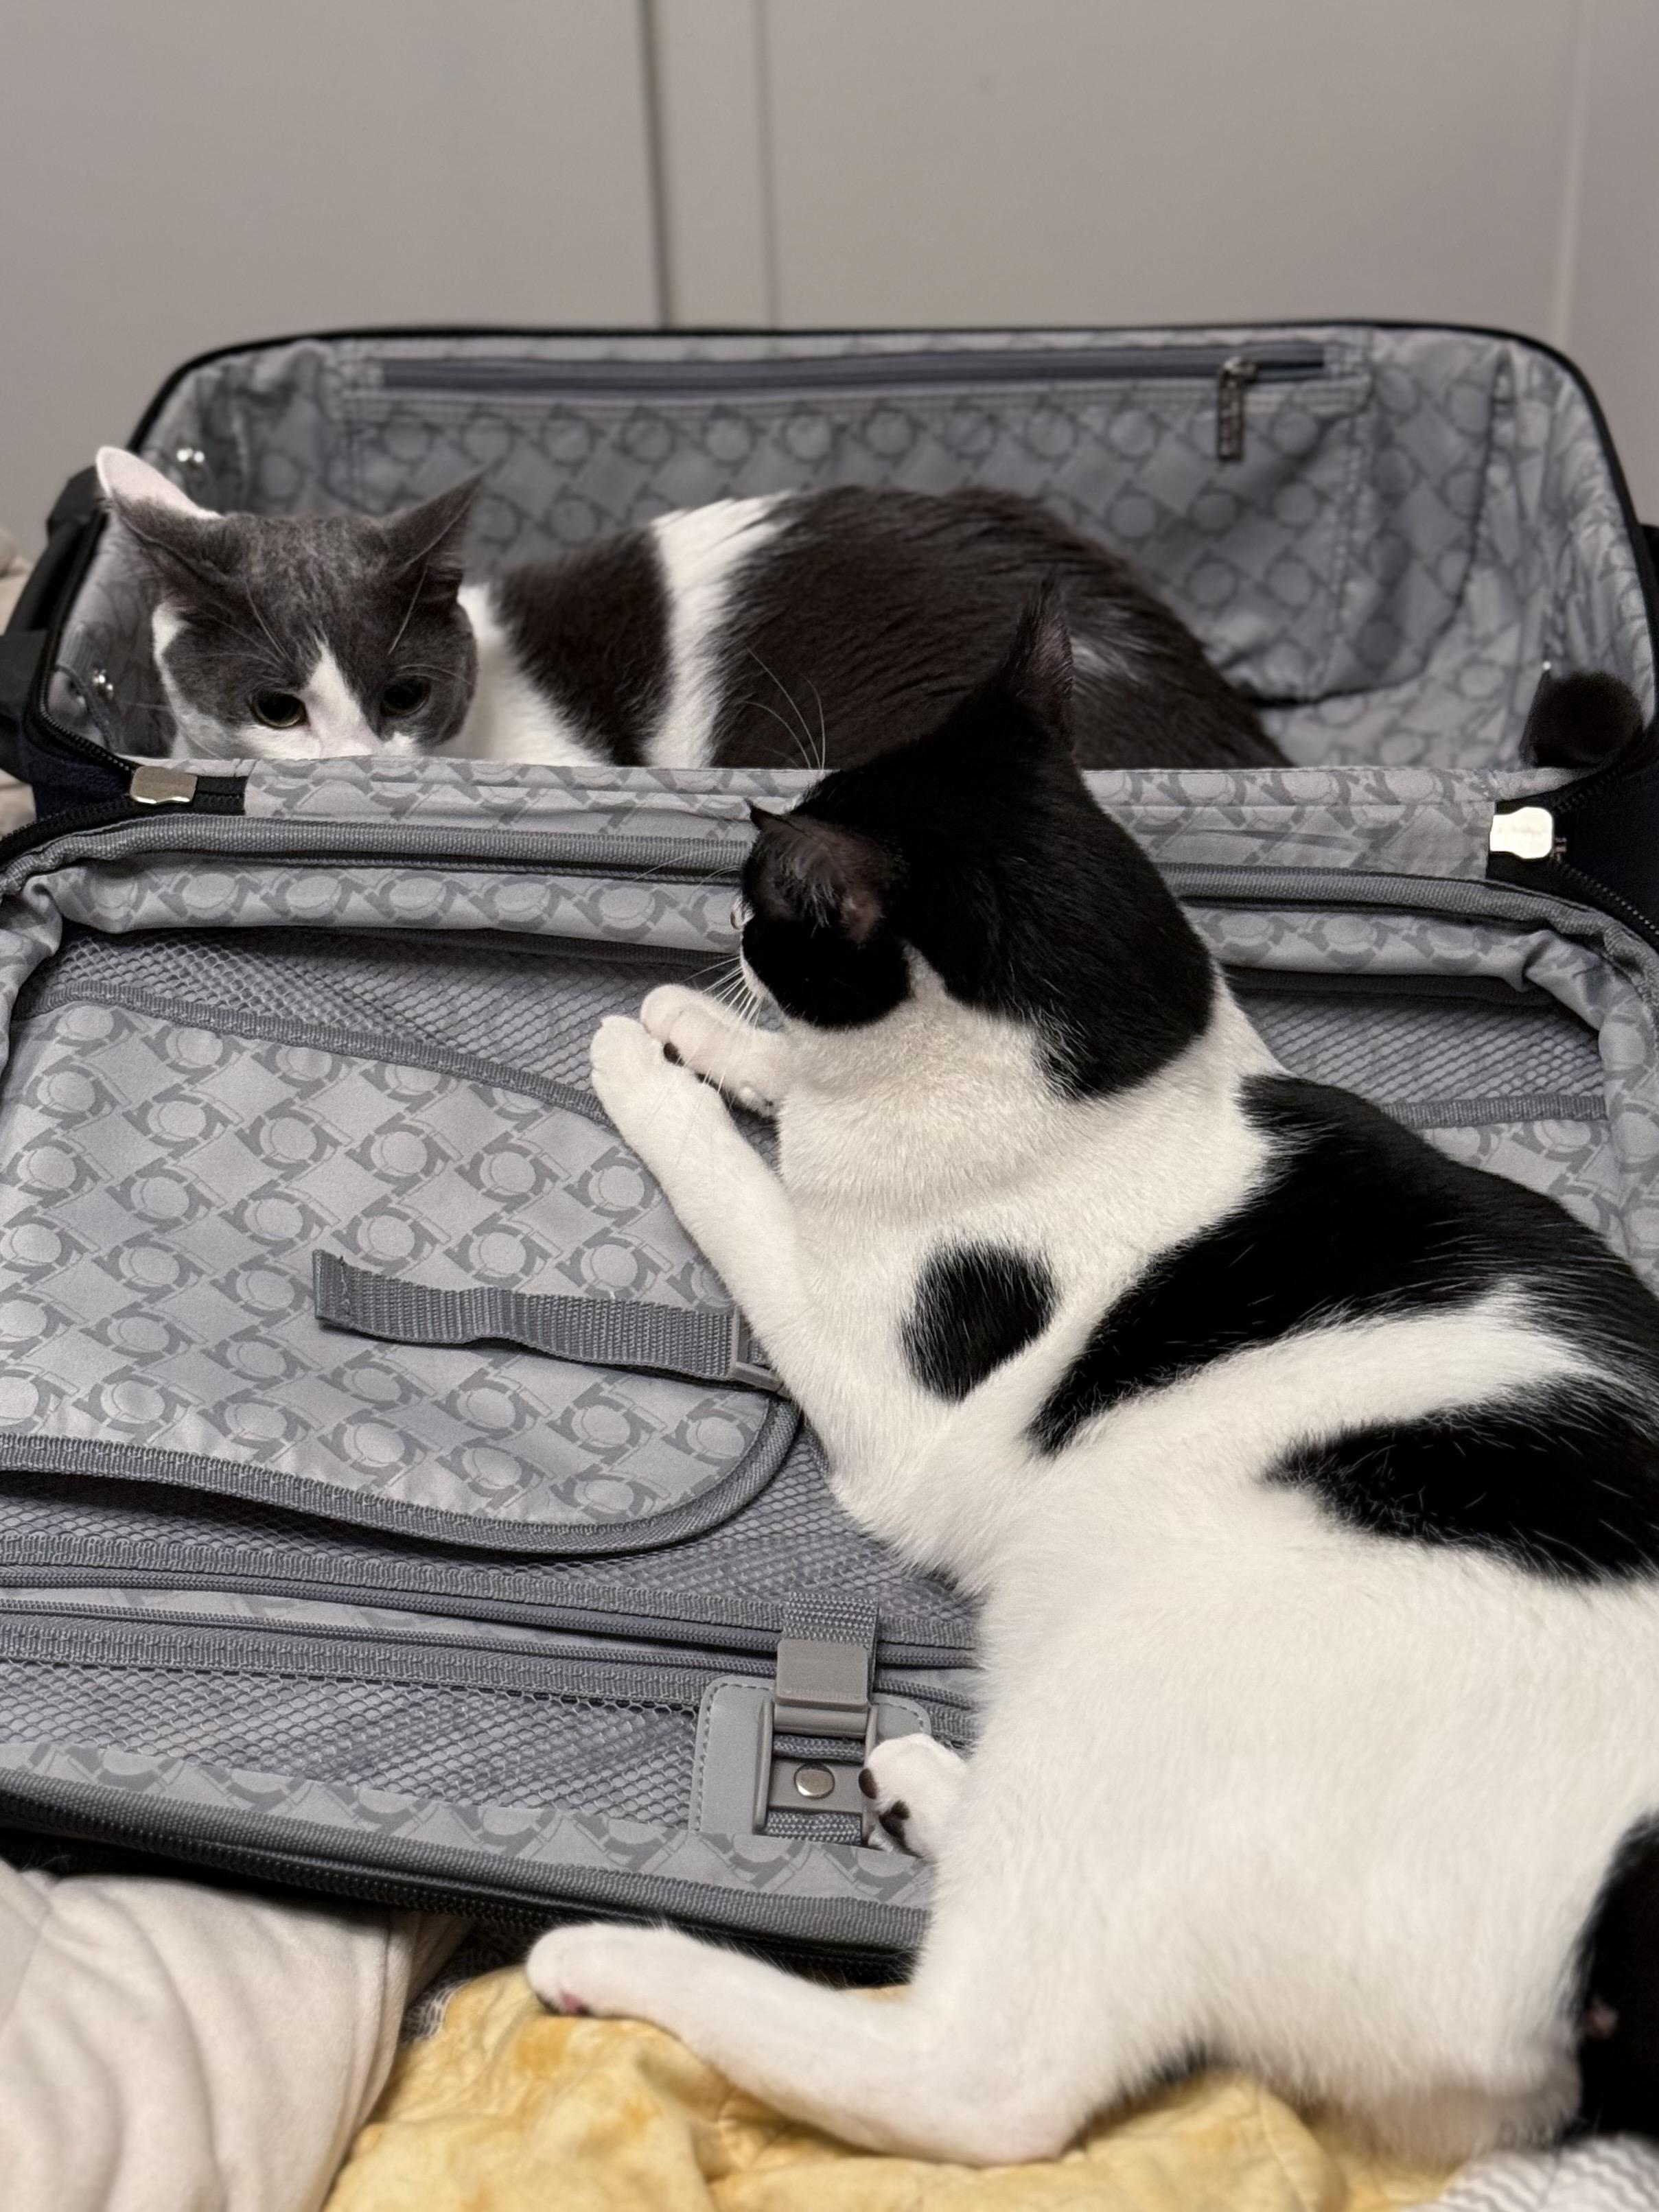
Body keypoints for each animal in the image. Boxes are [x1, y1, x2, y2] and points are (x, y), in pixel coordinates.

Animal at [529, 601, 1659, 2158]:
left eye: (766, 898)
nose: (722, 923)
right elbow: (793, 1092)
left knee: (985, 2079)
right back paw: (928, 1783)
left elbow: (745, 1193)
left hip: (1145, 1681)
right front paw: (708, 1036)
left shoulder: (886, 1398)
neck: (1123, 1087)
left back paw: (624, 1959)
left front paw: (657, 1070)